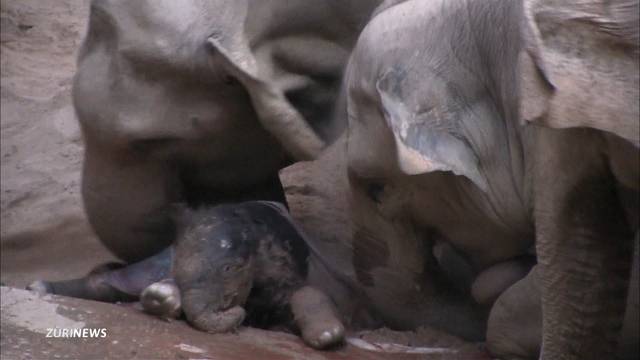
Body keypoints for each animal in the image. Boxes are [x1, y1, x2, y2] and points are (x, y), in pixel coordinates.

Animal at [28, 201, 344, 350]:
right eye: (179, 264)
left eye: (231, 269)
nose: (238, 312)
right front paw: (162, 297)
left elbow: (301, 294)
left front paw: (327, 336)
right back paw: (39, 287)